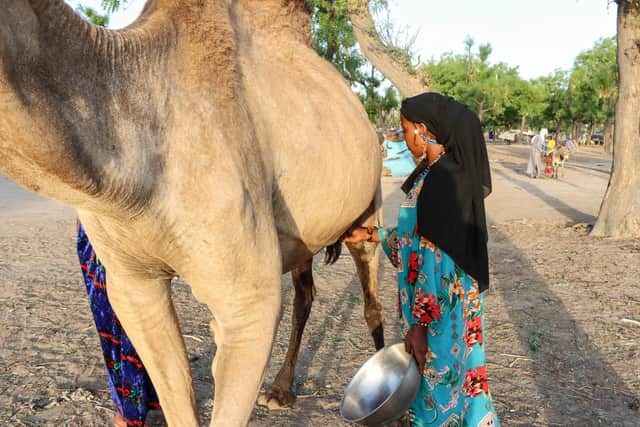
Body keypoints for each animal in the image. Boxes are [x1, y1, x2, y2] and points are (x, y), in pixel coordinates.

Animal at [0, 1, 384, 426]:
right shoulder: (134, 287)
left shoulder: (248, 302)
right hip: (306, 230)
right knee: (305, 293)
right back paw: (280, 390)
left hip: (370, 204)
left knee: (371, 298)